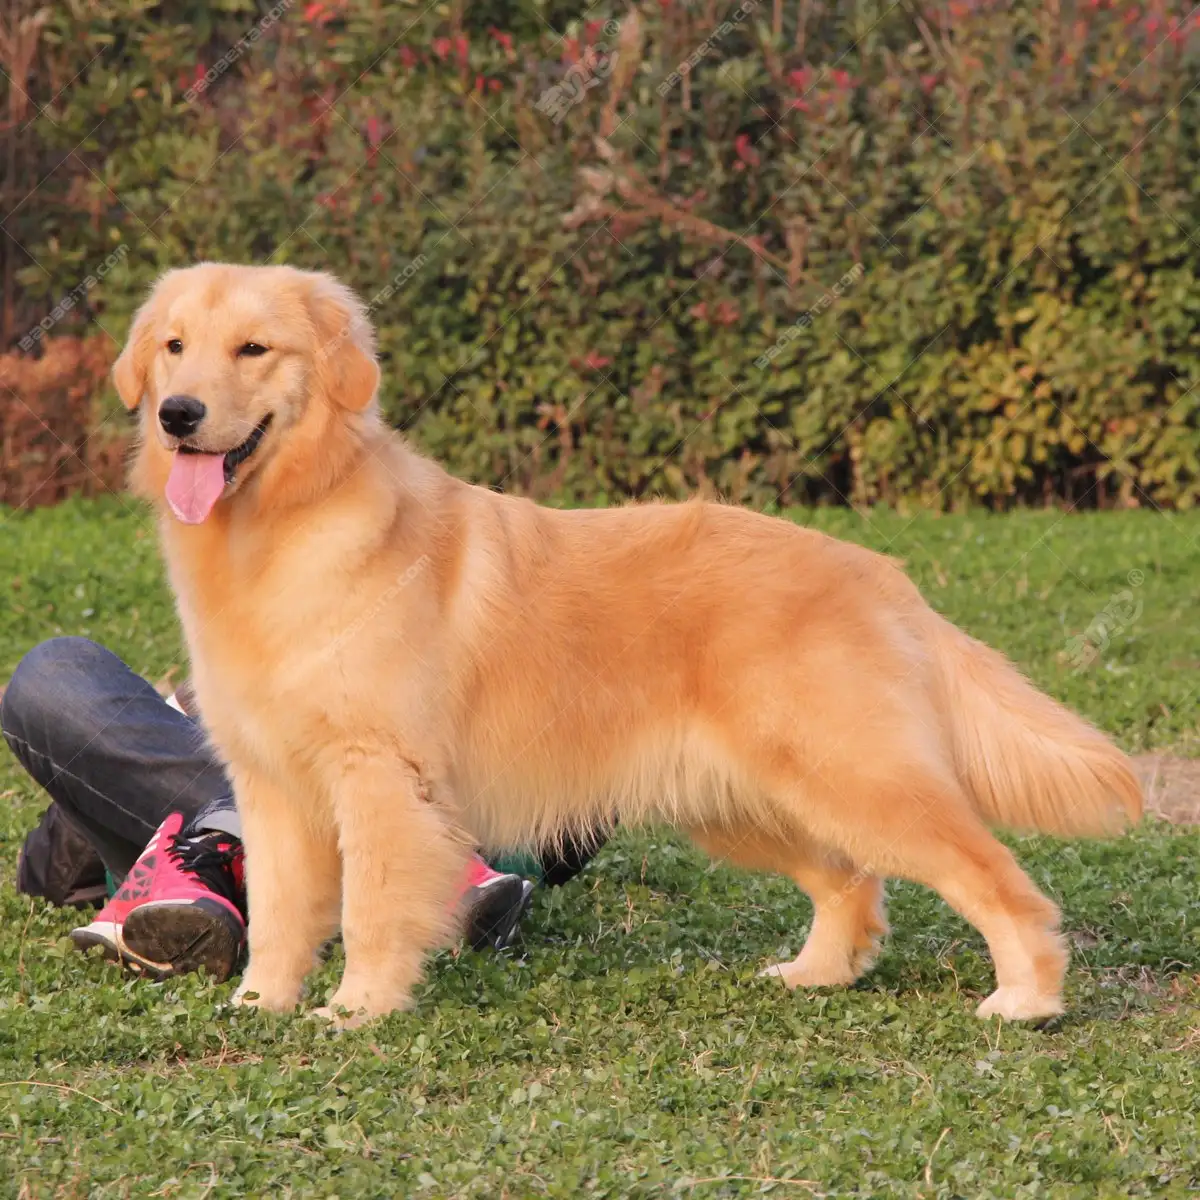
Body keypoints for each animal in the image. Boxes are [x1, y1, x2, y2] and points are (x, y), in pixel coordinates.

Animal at [112, 267, 1142, 1027]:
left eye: (255, 349)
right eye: (174, 347)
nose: (179, 413)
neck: (277, 531)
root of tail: (876, 570)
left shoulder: (381, 777)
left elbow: (367, 909)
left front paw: (357, 1008)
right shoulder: (271, 782)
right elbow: (281, 913)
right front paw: (261, 1002)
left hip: (856, 778)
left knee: (995, 879)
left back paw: (1027, 998)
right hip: (751, 798)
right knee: (853, 882)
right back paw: (813, 975)